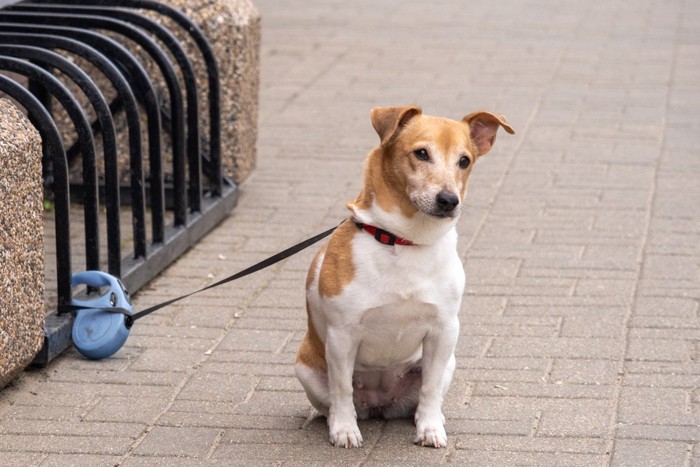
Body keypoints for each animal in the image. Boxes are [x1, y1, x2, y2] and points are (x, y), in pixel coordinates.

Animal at [296, 104, 516, 448]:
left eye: (464, 161)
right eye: (421, 153)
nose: (448, 200)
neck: (404, 241)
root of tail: (379, 403)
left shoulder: (444, 331)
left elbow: (430, 388)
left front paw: (430, 428)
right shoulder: (342, 335)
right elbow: (342, 388)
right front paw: (344, 430)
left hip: (449, 361)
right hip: (306, 368)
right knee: (333, 399)